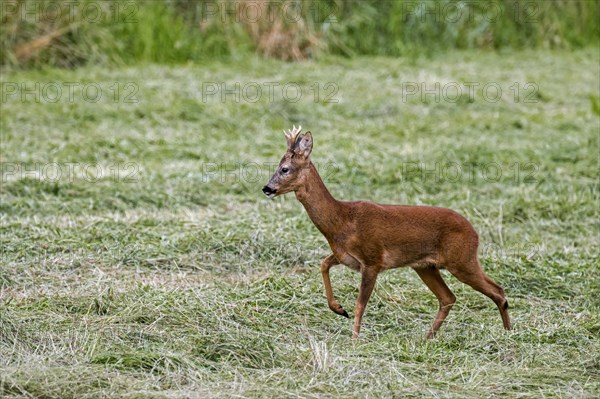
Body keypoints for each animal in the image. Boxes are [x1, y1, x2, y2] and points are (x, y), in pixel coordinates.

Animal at [262, 126, 510, 340]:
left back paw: (509, 334)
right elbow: (323, 264)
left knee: (497, 290)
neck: (342, 221)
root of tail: (474, 232)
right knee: (448, 297)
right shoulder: (344, 256)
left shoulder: (373, 260)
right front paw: (339, 309)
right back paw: (427, 338)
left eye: (284, 169)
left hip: (462, 260)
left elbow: (360, 304)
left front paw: (354, 339)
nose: (267, 188)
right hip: (426, 266)